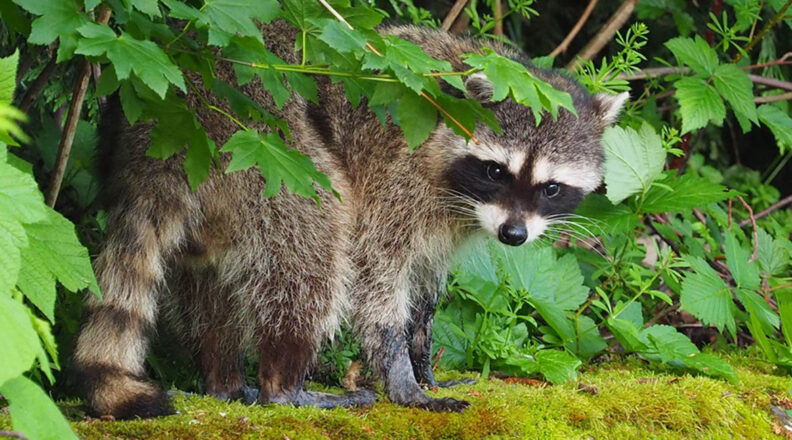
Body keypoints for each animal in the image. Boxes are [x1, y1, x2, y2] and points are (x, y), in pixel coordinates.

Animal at [72, 21, 627, 418]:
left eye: (551, 187)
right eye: (496, 170)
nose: (514, 236)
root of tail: (165, 126)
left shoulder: (450, 222)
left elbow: (425, 286)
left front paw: (424, 361)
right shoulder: (398, 175)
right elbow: (375, 271)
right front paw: (402, 375)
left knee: (209, 285)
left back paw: (224, 380)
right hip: (267, 147)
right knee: (316, 245)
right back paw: (284, 386)